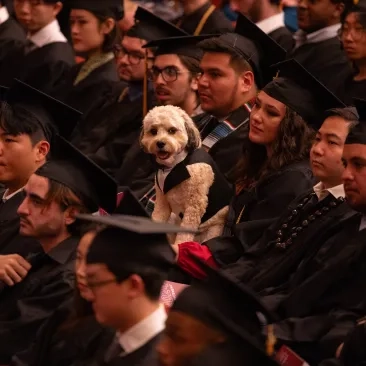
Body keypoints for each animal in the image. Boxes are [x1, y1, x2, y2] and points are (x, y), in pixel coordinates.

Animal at [140, 104, 232, 244]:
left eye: (172, 130)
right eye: (153, 131)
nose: (160, 143)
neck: (174, 166)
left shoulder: (194, 207)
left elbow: (185, 233)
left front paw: (178, 246)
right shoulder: (162, 200)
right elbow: (158, 216)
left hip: (212, 230)